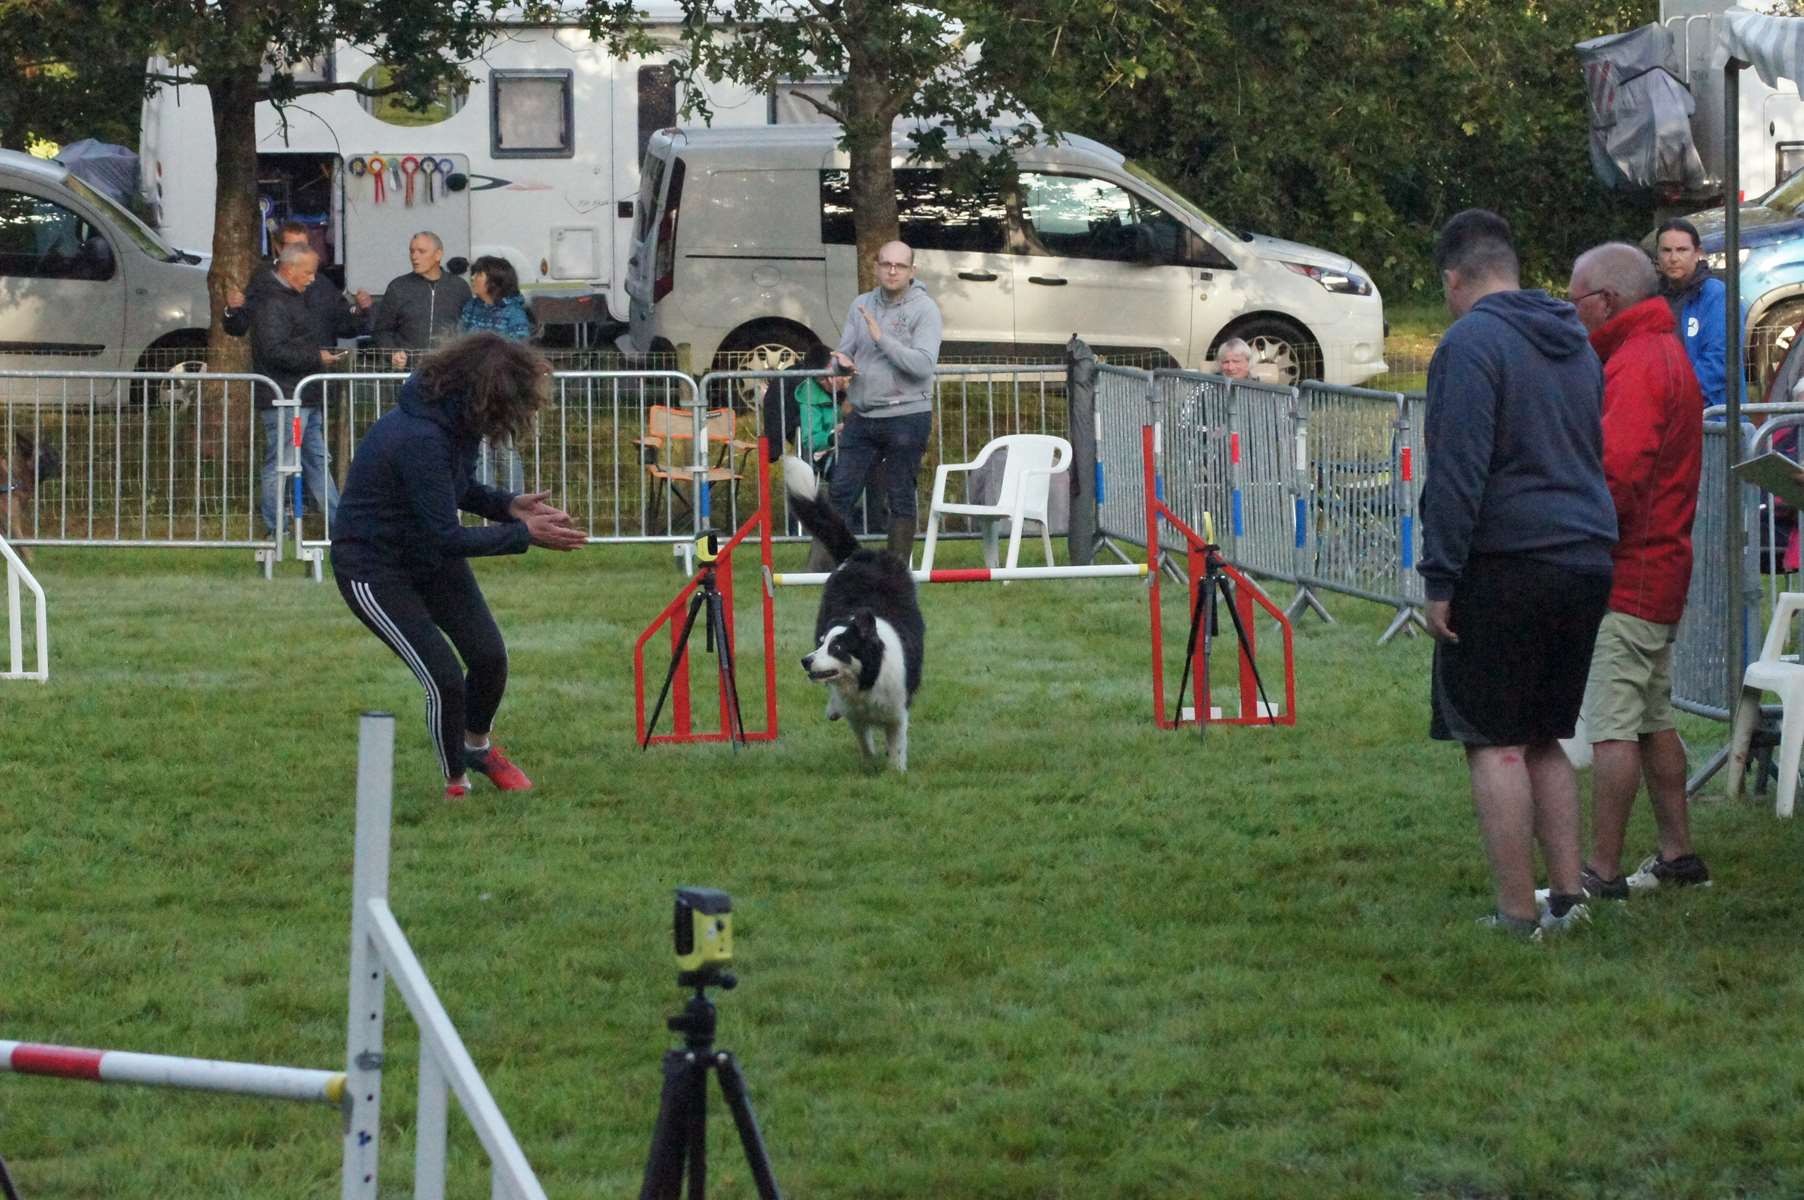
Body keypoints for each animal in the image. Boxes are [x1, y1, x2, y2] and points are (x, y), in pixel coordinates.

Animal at [782, 454, 923, 772]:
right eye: (821, 644)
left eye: (838, 648)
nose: (806, 661)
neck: (867, 676)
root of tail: (863, 553)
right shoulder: (856, 715)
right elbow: (864, 740)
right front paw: (871, 764)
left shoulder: (897, 710)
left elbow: (897, 745)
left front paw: (896, 772)